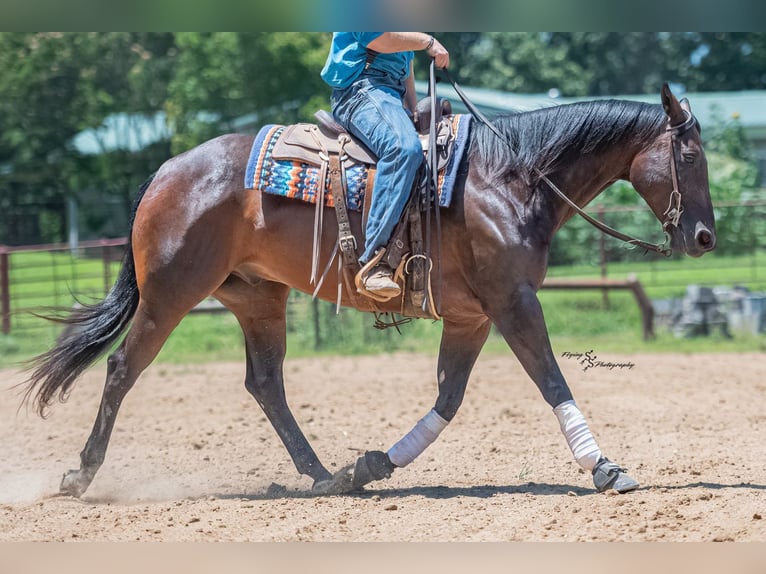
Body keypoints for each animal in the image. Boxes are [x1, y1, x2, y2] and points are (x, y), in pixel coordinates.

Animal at [21, 83, 715, 498]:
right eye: (689, 157)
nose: (706, 237)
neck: (508, 177)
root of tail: (166, 170)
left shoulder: (472, 317)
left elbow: (448, 399)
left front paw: (373, 464)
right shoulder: (513, 301)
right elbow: (550, 379)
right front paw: (605, 468)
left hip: (257, 297)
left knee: (265, 383)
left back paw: (324, 476)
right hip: (172, 293)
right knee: (121, 368)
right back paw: (80, 475)